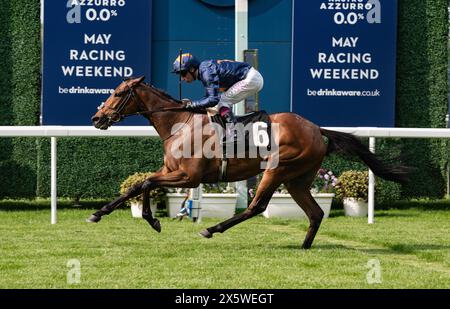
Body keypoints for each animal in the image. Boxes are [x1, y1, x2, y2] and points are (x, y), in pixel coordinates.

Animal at [87, 76, 408, 248]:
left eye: (118, 93)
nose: (97, 118)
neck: (180, 122)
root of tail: (317, 129)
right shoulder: (171, 169)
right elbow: (137, 185)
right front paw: (98, 213)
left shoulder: (189, 177)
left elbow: (147, 183)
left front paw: (152, 220)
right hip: (298, 180)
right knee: (316, 213)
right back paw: (304, 246)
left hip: (277, 170)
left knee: (257, 207)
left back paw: (211, 229)